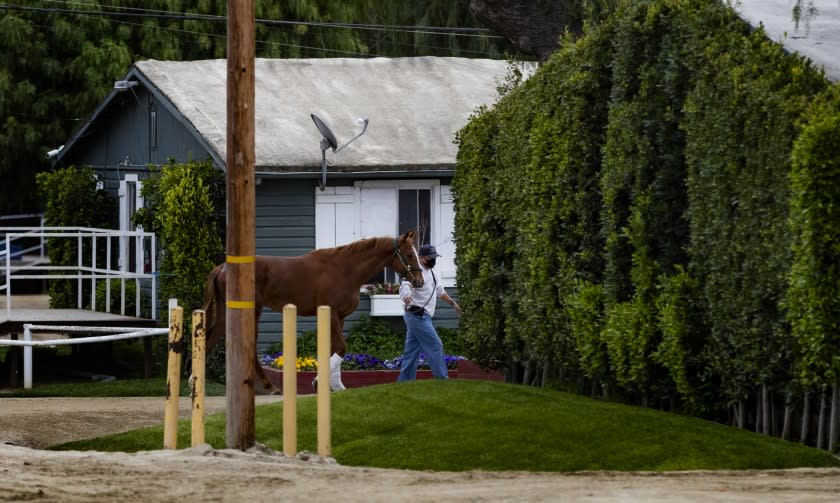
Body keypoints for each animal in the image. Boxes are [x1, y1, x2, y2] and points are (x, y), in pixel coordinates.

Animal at [203, 231, 424, 394]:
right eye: (410, 254)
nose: (419, 281)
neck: (345, 269)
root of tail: (223, 268)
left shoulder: (340, 317)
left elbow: (334, 348)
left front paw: (336, 386)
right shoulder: (331, 313)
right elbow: (341, 347)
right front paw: (318, 382)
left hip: (226, 313)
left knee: (211, 338)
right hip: (251, 310)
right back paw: (269, 387)